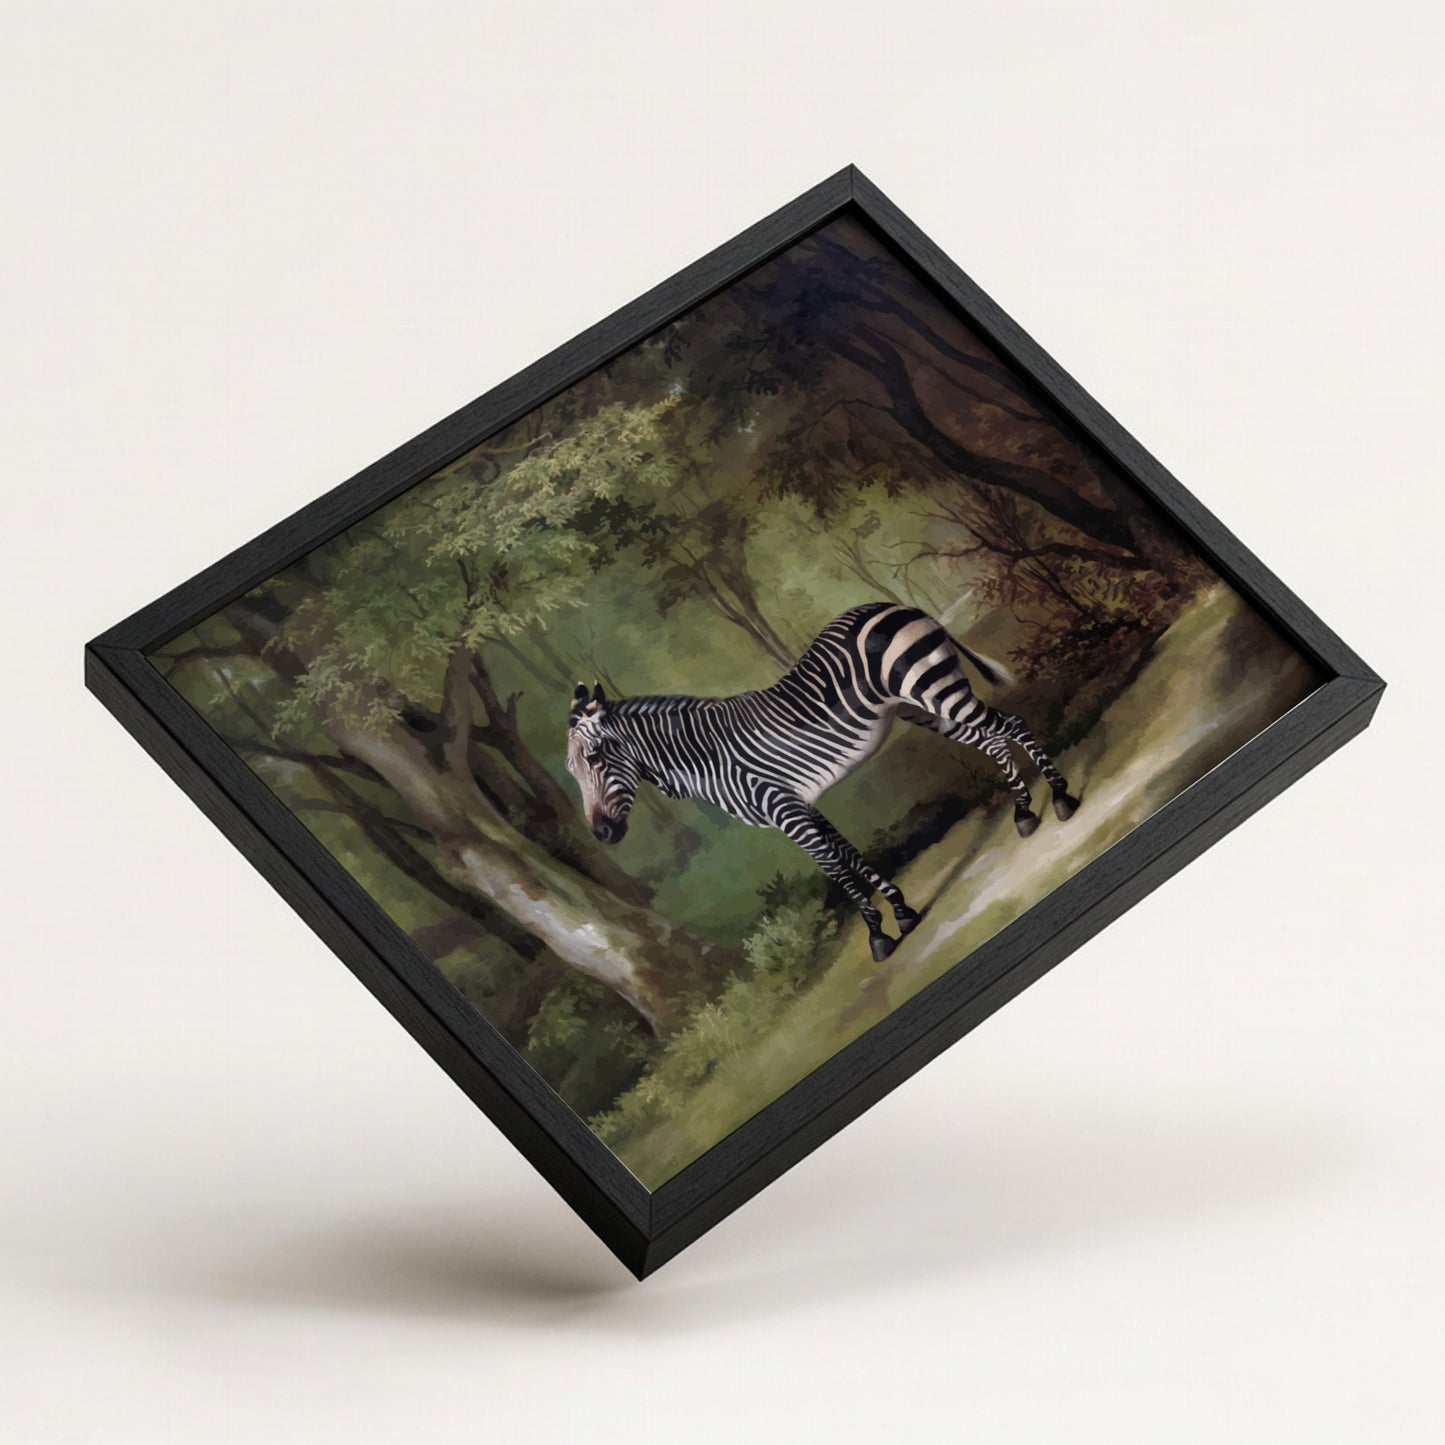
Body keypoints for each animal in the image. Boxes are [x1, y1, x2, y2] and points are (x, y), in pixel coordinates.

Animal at [565, 602, 1080, 963]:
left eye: (595, 756)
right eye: (572, 772)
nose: (602, 834)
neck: (709, 757)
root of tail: (894, 605)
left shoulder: (784, 810)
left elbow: (835, 870)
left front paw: (878, 937)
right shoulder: (804, 804)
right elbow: (850, 855)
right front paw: (903, 914)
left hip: (937, 691)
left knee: (1009, 727)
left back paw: (1059, 799)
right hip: (922, 707)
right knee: (993, 739)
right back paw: (1027, 811)